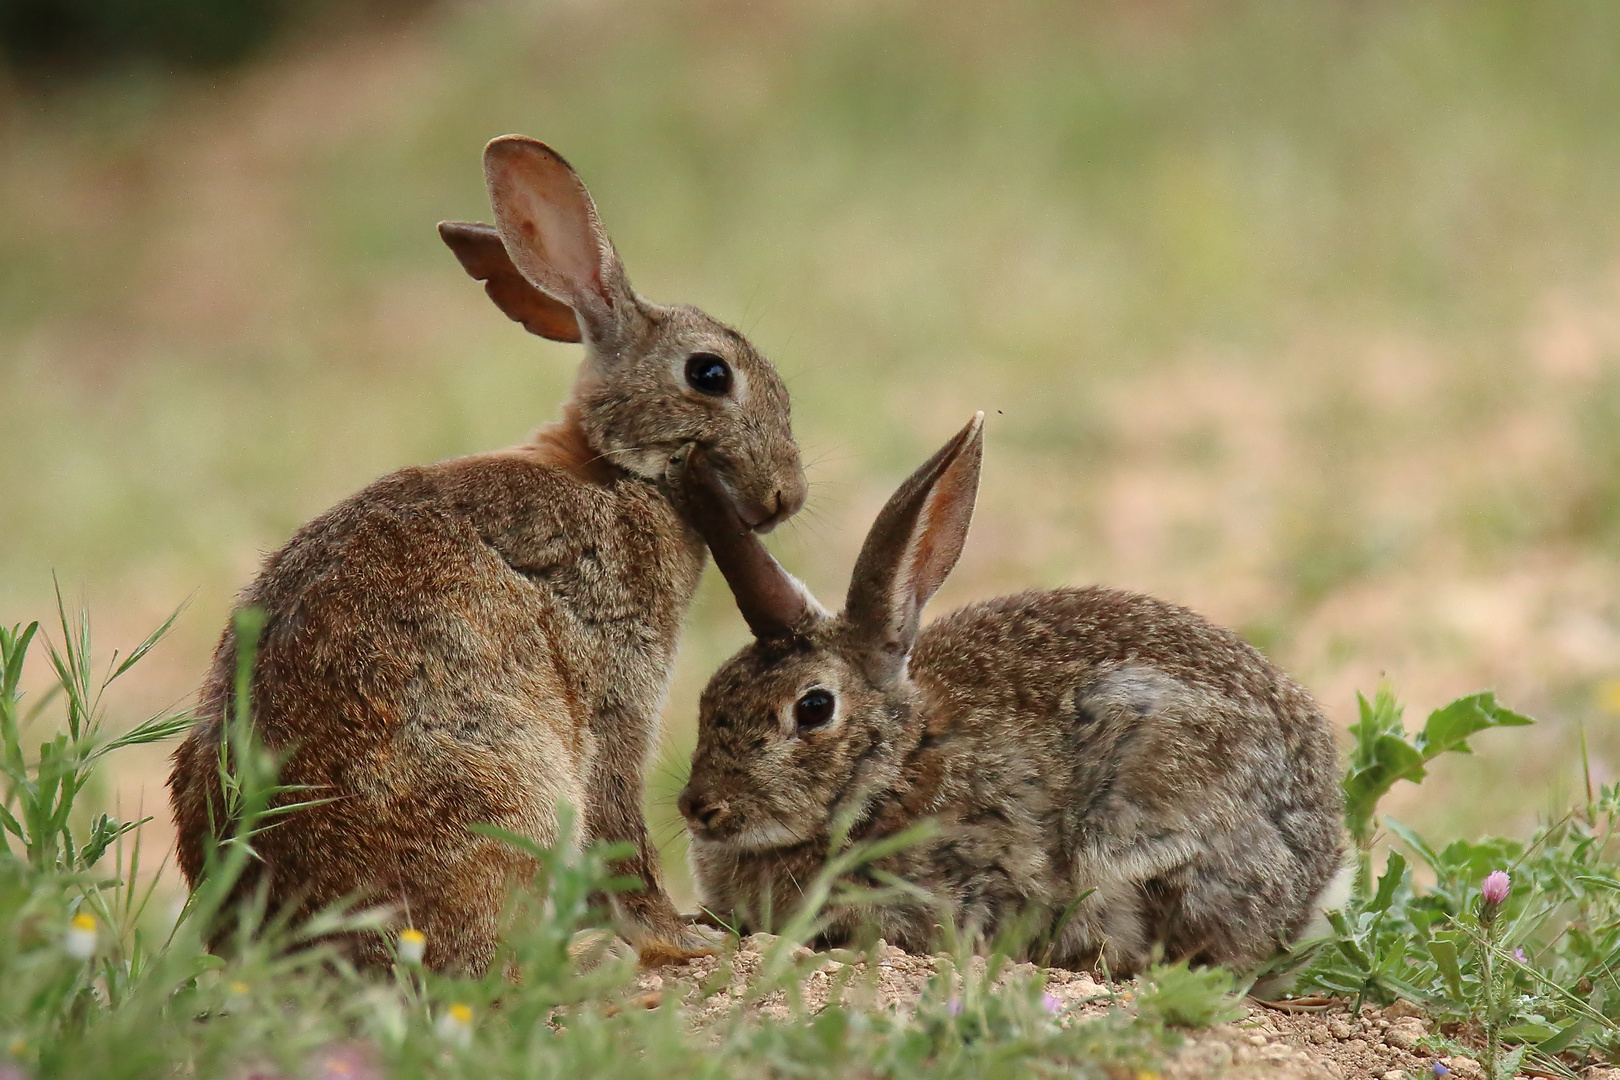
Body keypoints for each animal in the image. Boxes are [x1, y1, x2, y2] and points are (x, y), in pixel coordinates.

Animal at [167, 131, 806, 977]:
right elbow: (620, 827)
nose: (787, 496)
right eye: (710, 374)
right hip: (511, 788)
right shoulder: (614, 683)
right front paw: (680, 939)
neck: (615, 467)